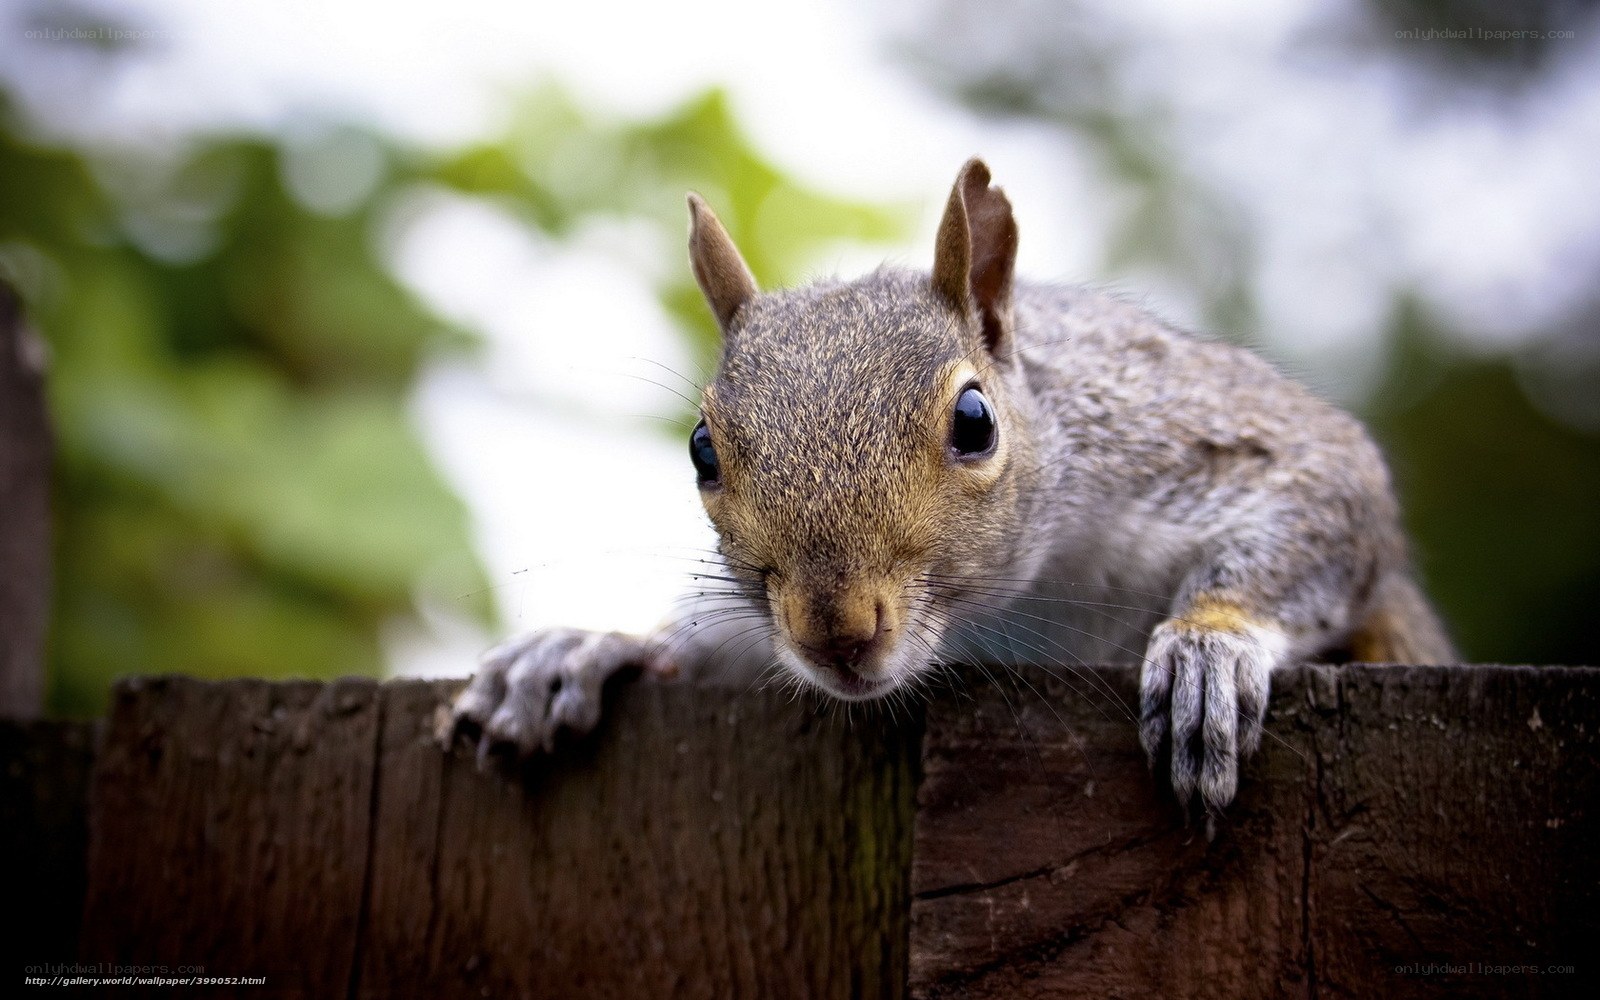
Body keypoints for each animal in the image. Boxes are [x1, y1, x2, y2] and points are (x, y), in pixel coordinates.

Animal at [446, 158, 1455, 815]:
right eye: (701, 451)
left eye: (975, 423)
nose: (836, 633)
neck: (1012, 604)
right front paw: (589, 647)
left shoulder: (1197, 437)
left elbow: (1324, 496)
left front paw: (1210, 647)